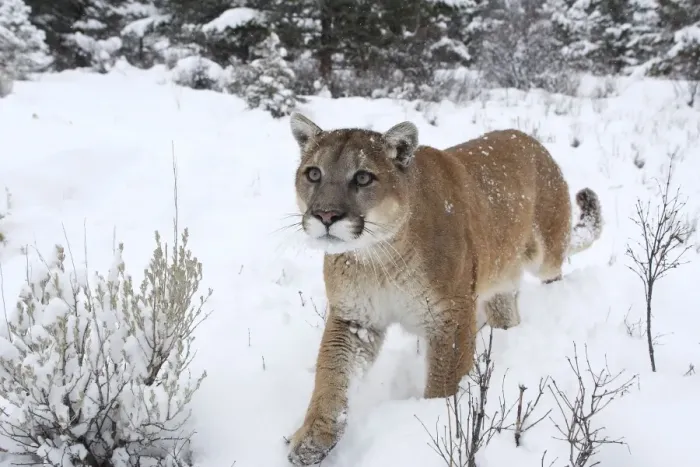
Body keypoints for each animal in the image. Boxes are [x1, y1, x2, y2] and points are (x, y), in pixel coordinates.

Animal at [285, 113, 603, 465]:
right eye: (314, 173)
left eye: (364, 178)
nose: (325, 214)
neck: (378, 257)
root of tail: (529, 139)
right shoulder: (355, 319)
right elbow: (332, 376)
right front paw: (313, 439)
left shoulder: (449, 317)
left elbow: (443, 384)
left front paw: (437, 428)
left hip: (545, 253)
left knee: (554, 271)